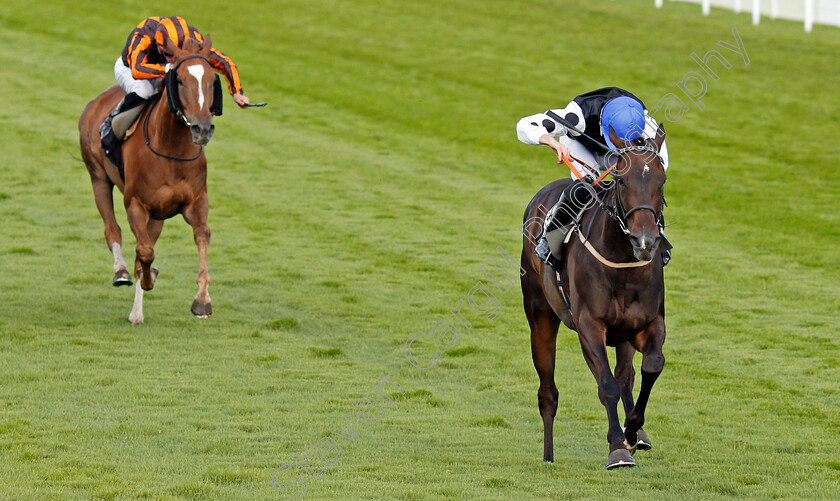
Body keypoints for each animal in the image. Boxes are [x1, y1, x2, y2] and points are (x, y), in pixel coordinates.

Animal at [79, 36, 220, 324]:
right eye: (180, 80)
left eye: (212, 80)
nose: (202, 128)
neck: (172, 150)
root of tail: (96, 101)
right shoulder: (136, 203)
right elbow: (144, 252)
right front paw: (144, 278)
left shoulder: (195, 201)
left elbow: (202, 234)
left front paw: (202, 300)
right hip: (98, 176)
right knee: (113, 230)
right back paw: (121, 273)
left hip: (157, 214)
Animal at [520, 125, 668, 468]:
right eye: (623, 180)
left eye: (662, 179)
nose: (645, 241)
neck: (622, 264)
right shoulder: (589, 327)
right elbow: (606, 386)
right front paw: (617, 447)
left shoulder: (648, 323)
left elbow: (651, 366)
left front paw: (632, 431)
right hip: (540, 316)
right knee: (548, 392)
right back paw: (548, 455)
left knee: (626, 374)